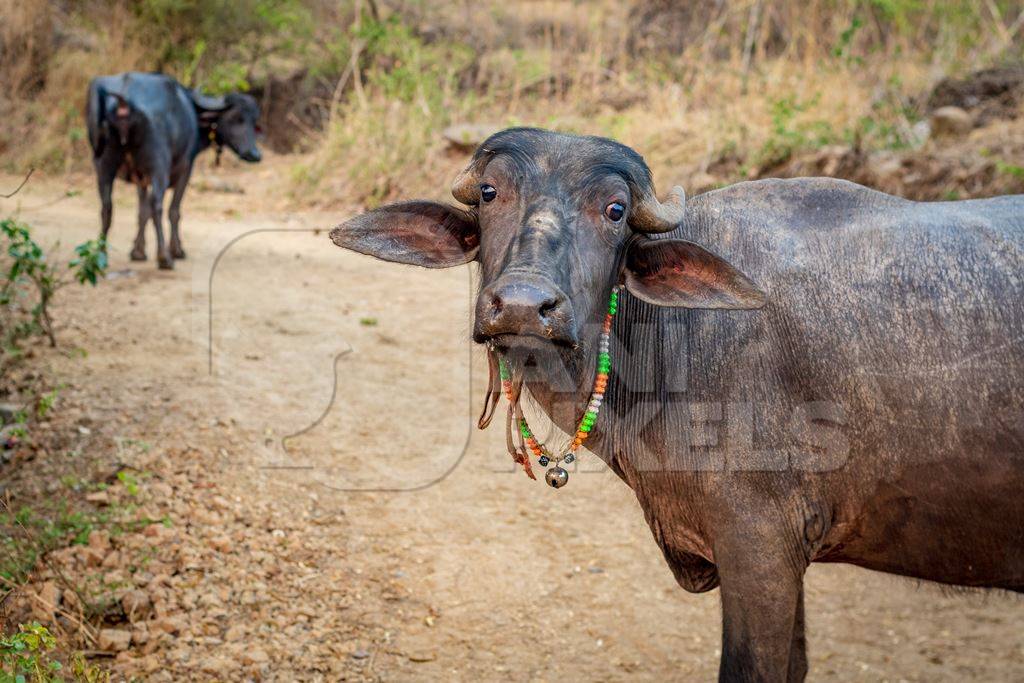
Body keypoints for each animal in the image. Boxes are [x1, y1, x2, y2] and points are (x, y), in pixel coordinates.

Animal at [86, 71, 262, 270]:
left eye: (254, 121)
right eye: (236, 118)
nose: (255, 154)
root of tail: (124, 99)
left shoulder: (141, 177)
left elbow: (142, 211)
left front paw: (138, 251)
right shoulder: (185, 168)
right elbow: (173, 210)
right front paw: (177, 250)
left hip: (103, 165)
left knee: (107, 207)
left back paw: (100, 255)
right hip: (159, 166)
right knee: (157, 205)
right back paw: (164, 257)